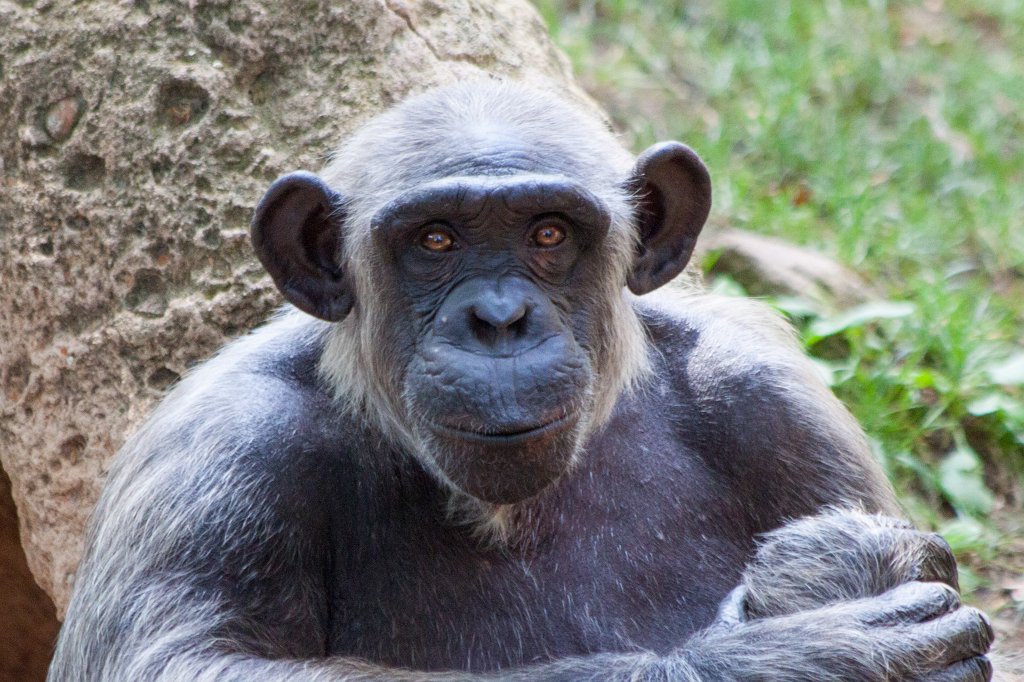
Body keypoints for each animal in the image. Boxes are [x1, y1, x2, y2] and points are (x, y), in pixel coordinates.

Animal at [48, 81, 994, 681]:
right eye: (434, 240)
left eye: (548, 233)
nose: (499, 318)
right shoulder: (222, 454)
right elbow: (181, 659)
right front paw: (795, 654)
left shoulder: (781, 411)